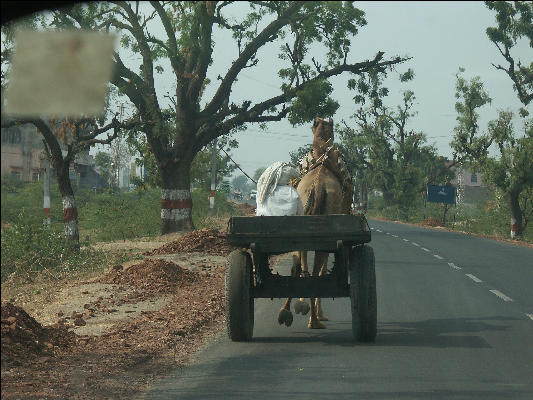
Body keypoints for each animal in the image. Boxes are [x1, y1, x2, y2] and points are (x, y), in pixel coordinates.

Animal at [278, 115, 354, 328]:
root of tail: (318, 187)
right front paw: (320, 313)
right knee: (314, 271)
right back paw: (314, 320)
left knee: (299, 265)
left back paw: (289, 312)